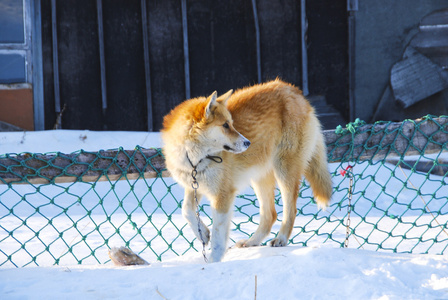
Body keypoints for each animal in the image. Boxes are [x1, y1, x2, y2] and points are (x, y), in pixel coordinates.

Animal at [159, 79, 330, 262]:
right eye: (225, 125)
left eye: (232, 124)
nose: (248, 143)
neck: (195, 160)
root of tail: (293, 90)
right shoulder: (194, 186)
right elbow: (187, 211)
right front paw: (203, 235)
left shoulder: (222, 195)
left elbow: (218, 236)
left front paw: (213, 261)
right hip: (260, 178)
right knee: (270, 215)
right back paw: (252, 242)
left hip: (284, 170)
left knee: (290, 210)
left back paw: (281, 239)